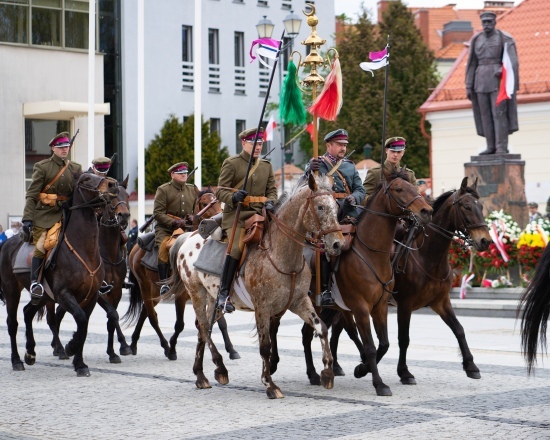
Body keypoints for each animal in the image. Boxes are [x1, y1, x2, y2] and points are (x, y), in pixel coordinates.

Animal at [0, 174, 119, 376]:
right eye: (86, 179)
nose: (112, 185)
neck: (84, 249)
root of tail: (8, 242)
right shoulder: (64, 295)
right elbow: (80, 320)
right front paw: (70, 348)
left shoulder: (92, 296)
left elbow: (84, 326)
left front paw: (80, 363)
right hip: (12, 290)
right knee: (12, 323)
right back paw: (17, 360)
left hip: (42, 296)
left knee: (27, 312)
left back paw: (30, 353)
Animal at [126, 189, 240, 360]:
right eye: (205, 204)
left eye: (218, 202)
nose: (222, 223)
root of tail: (135, 248)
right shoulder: (181, 295)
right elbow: (180, 324)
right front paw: (173, 348)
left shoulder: (210, 293)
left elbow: (219, 322)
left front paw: (231, 349)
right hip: (145, 286)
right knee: (152, 317)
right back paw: (165, 346)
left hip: (154, 291)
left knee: (145, 312)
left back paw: (133, 344)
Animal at [175, 174, 344, 398]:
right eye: (320, 207)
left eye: (336, 206)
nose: (337, 244)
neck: (283, 255)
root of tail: (188, 236)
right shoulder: (263, 308)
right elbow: (265, 346)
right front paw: (270, 384)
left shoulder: (299, 301)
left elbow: (321, 328)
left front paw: (327, 372)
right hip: (196, 293)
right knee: (203, 327)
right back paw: (212, 371)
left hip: (214, 299)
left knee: (204, 328)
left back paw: (206, 372)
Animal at [298, 167, 436, 398]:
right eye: (399, 189)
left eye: (414, 186)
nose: (427, 211)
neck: (372, 253)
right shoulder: (361, 308)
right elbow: (370, 346)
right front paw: (379, 383)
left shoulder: (380, 307)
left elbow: (384, 344)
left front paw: (362, 369)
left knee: (310, 333)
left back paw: (315, 373)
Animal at [312, 178, 494, 384]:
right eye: (466, 207)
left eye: (481, 206)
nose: (485, 241)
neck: (428, 256)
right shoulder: (405, 304)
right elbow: (403, 338)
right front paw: (404, 372)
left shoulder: (441, 302)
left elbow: (459, 329)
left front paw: (471, 366)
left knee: (338, 328)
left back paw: (337, 366)